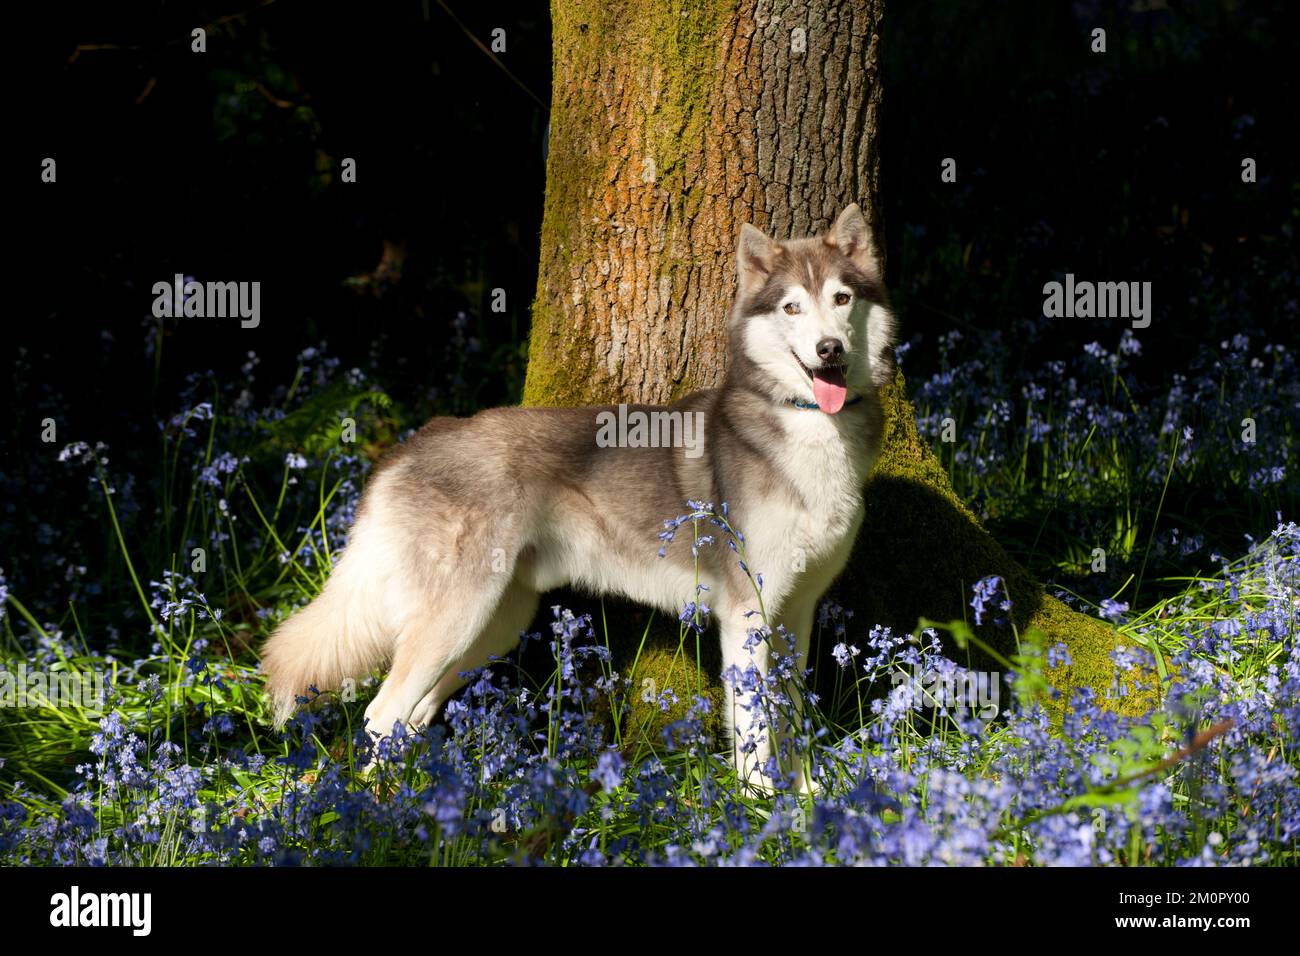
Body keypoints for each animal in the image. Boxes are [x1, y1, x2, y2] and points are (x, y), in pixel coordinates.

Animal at [263, 204, 894, 790]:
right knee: (379, 714)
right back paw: (373, 813)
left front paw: (807, 793)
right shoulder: (746, 615)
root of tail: (412, 443)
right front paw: (760, 802)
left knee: (410, 718)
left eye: (841, 298)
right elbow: (754, 727)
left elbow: (789, 718)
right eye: (791, 308)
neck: (808, 430)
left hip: (492, 627)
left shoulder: (796, 613)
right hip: (456, 622)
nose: (829, 349)